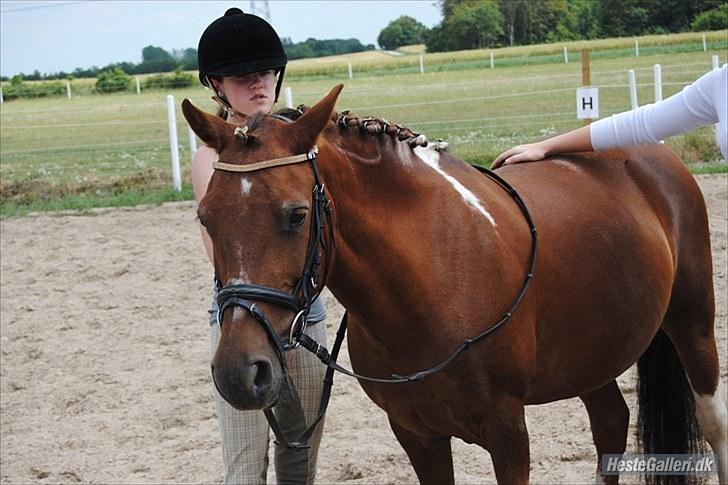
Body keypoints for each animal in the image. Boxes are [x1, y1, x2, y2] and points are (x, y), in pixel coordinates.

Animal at [183, 85, 728, 482]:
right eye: (205, 217)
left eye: (296, 215)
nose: (238, 372)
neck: (433, 280)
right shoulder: (416, 434)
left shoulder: (508, 432)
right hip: (591, 356)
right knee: (611, 423)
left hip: (692, 321)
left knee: (711, 420)